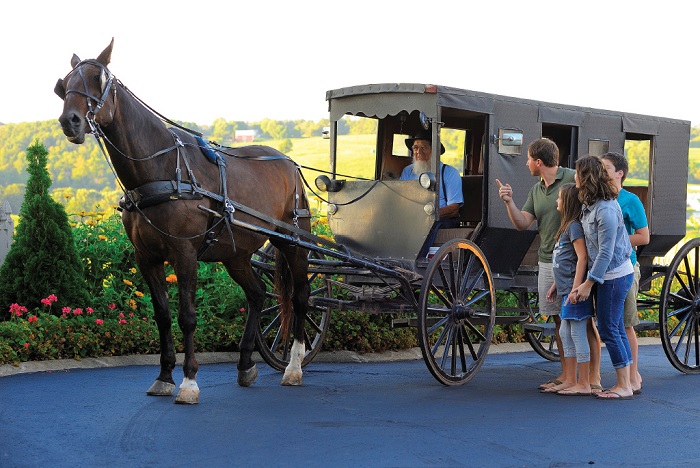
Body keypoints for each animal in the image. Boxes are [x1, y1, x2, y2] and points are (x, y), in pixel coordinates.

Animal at [56, 40, 314, 404]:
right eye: (64, 84)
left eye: (97, 78)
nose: (71, 121)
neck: (162, 169)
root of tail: (288, 162)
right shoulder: (147, 257)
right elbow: (163, 316)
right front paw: (164, 376)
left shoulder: (185, 253)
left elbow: (187, 316)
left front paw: (189, 382)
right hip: (235, 253)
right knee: (257, 294)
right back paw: (245, 363)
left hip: (292, 241)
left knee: (301, 296)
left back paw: (293, 366)